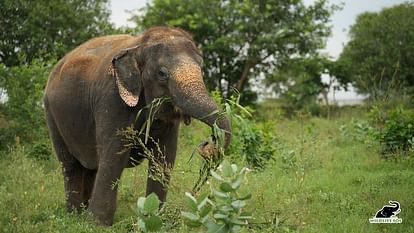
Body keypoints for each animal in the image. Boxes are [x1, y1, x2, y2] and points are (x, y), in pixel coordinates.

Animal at [44, 26, 233, 226]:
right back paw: (74, 215)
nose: (209, 144)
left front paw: (156, 219)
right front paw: (98, 224)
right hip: (51, 115)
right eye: (162, 74)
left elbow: (164, 157)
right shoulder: (111, 98)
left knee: (90, 166)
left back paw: (81, 213)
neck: (139, 45)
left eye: (202, 71)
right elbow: (114, 155)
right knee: (70, 165)